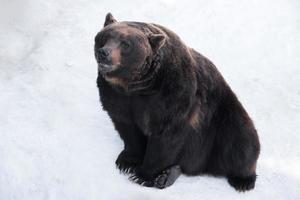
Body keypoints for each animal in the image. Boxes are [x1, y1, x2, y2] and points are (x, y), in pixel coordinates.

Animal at [94, 12, 260, 191]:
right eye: (104, 37)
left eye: (126, 44)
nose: (104, 53)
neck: (138, 86)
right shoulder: (117, 97)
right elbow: (128, 129)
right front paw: (126, 162)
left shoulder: (172, 95)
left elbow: (166, 137)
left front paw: (142, 175)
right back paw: (168, 174)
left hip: (223, 121)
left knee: (242, 142)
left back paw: (243, 180)